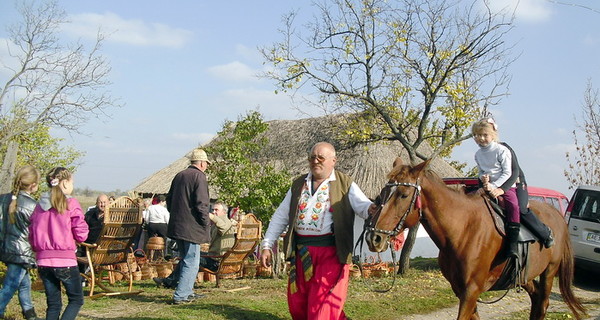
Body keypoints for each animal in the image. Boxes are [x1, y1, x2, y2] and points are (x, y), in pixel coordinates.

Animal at [366, 158, 584, 320]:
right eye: (383, 193)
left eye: (403, 195)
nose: (374, 238)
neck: (462, 230)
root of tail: (557, 214)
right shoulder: (460, 289)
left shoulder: (471, 290)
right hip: (524, 275)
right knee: (537, 299)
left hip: (549, 271)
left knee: (543, 304)